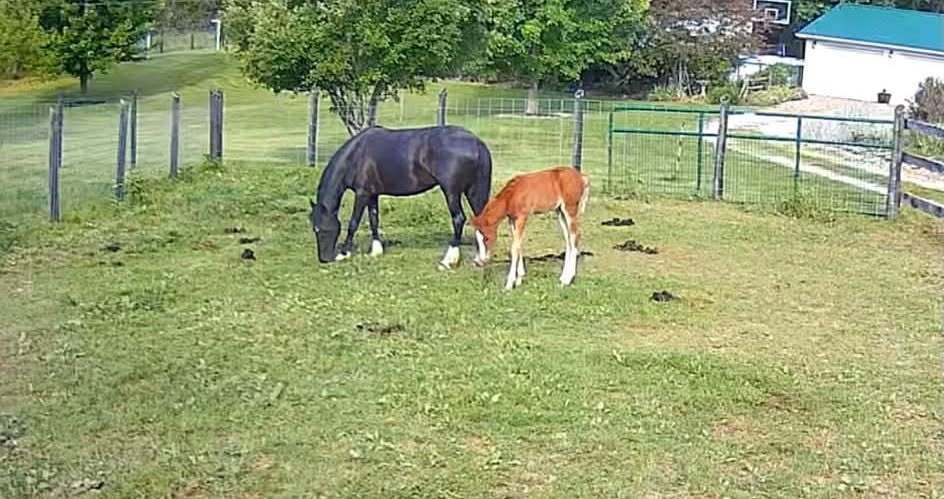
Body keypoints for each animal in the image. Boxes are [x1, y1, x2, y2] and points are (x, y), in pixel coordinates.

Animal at [309, 125, 493, 268]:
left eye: (320, 229)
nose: (324, 259)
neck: (356, 155)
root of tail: (476, 143)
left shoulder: (362, 194)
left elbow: (353, 223)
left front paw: (344, 253)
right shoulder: (372, 194)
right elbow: (374, 220)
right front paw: (376, 251)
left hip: (451, 192)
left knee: (458, 219)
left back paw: (447, 260)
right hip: (473, 190)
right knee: (481, 218)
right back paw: (481, 258)